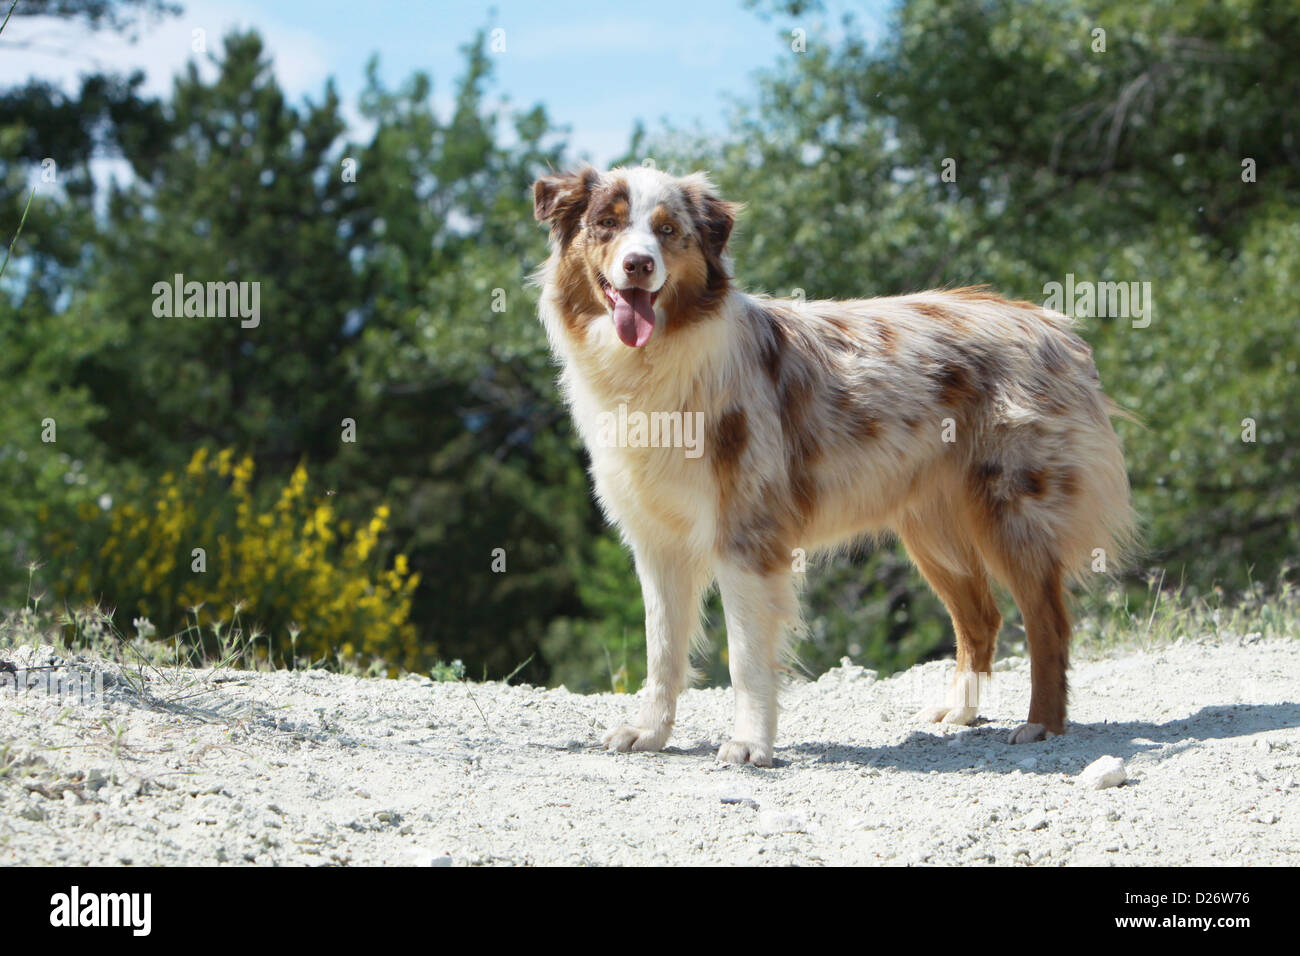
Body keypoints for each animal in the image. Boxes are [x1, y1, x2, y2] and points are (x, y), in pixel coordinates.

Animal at [533, 160, 1133, 764]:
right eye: (607, 224)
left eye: (667, 230)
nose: (639, 264)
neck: (653, 365)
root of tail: (1052, 324)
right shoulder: (657, 540)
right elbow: (662, 651)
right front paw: (650, 732)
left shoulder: (747, 534)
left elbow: (744, 659)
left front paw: (749, 743)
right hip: (931, 526)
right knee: (981, 618)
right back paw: (959, 711)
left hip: (1013, 512)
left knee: (1048, 623)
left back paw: (1042, 725)